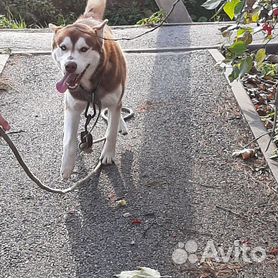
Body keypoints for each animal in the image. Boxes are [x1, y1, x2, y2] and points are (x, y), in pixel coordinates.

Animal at [50, 0, 128, 179]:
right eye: (63, 47)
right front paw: (67, 166)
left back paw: (120, 122)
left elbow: (111, 132)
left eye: (84, 49)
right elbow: (69, 141)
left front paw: (108, 154)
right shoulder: (72, 107)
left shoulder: (114, 101)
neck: (91, 85)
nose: (70, 66)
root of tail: (89, 18)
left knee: (117, 109)